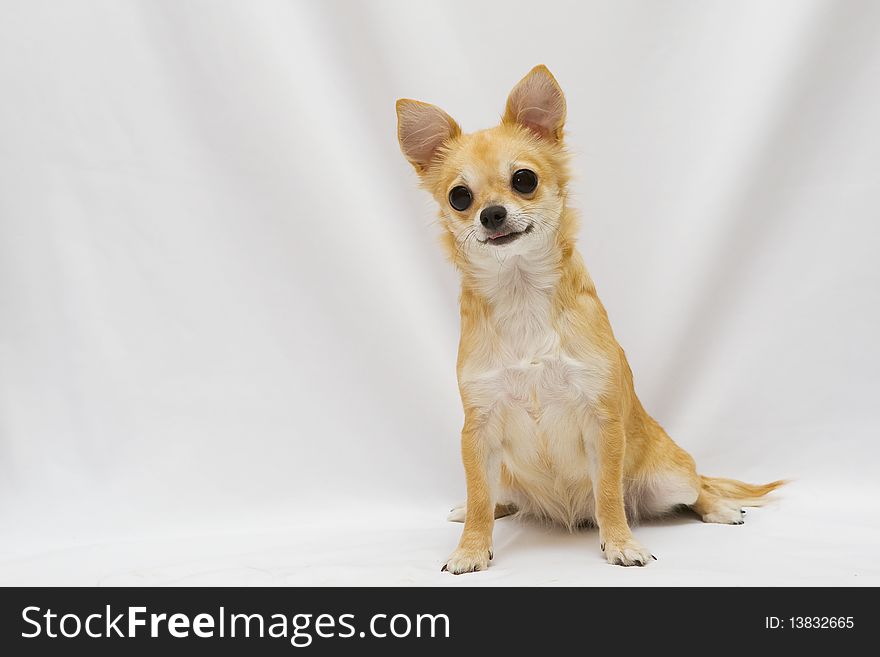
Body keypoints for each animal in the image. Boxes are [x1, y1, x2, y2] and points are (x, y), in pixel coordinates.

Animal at [396, 64, 780, 572]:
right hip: (509, 471)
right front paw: (472, 547)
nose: (491, 213)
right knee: (499, 494)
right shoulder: (478, 431)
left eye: (524, 180)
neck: (521, 293)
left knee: (695, 487)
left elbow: (609, 495)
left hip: (669, 478)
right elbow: (479, 492)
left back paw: (719, 507)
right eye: (459, 197)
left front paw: (620, 543)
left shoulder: (603, 422)